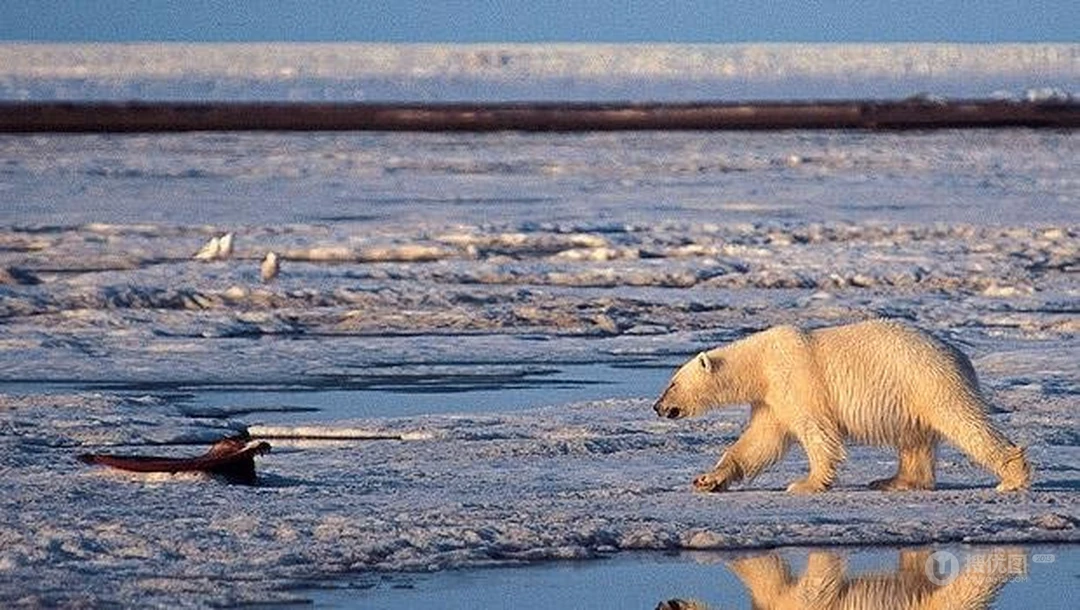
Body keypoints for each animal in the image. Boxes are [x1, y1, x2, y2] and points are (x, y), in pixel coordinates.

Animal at [652, 319, 1031, 494]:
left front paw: (805, 484)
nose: (658, 406)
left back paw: (1011, 478)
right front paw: (707, 479)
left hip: (928, 380)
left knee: (963, 422)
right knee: (914, 440)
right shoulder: (772, 399)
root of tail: (960, 355)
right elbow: (759, 441)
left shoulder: (797, 380)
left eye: (672, 383)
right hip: (912, 395)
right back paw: (893, 481)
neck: (760, 363)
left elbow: (816, 432)